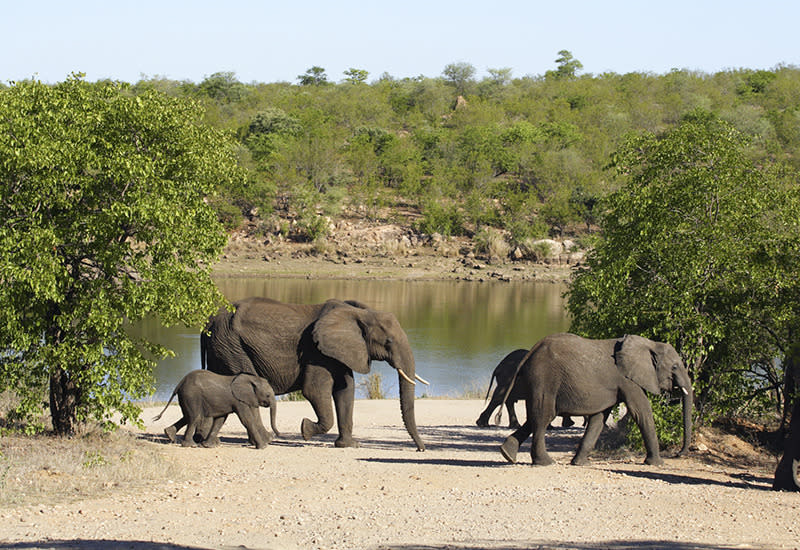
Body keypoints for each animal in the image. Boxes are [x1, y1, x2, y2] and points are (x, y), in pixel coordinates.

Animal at [153, 370, 282, 452]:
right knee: (195, 417)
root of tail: (180, 383)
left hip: (186, 396)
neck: (252, 379)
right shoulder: (239, 401)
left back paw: (170, 435)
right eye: (268, 395)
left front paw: (208, 446)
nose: (278, 434)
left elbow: (220, 420)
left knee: (187, 416)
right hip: (191, 395)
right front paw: (263, 447)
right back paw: (190, 445)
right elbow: (246, 420)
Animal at [200, 298, 424, 452]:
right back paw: (264, 441)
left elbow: (345, 391)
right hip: (231, 347)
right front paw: (305, 430)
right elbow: (314, 391)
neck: (359, 313)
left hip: (222, 347)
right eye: (388, 342)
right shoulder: (316, 352)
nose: (420, 449)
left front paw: (349, 445)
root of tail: (208, 324)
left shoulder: (338, 351)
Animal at [500, 334, 692, 468]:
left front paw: (581, 463)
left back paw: (507, 454)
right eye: (675, 367)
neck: (649, 344)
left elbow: (598, 419)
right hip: (544, 378)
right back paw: (545, 462)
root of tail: (532, 351)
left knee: (536, 417)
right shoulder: (628, 381)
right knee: (543, 417)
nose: (678, 454)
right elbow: (641, 411)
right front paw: (657, 464)